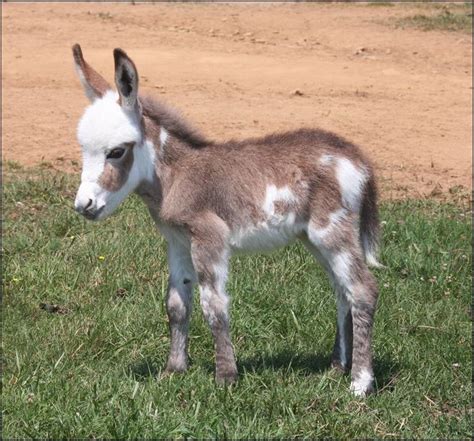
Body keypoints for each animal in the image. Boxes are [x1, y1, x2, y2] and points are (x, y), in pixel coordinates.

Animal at [71, 44, 382, 396]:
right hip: (313, 238)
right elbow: (176, 304)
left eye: (116, 152)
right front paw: (173, 371)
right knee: (342, 290)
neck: (177, 175)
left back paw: (359, 384)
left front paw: (226, 378)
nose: (83, 206)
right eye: (84, 150)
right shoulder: (177, 240)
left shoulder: (209, 236)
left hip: (332, 230)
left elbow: (214, 305)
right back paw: (336, 368)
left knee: (363, 289)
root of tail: (357, 157)